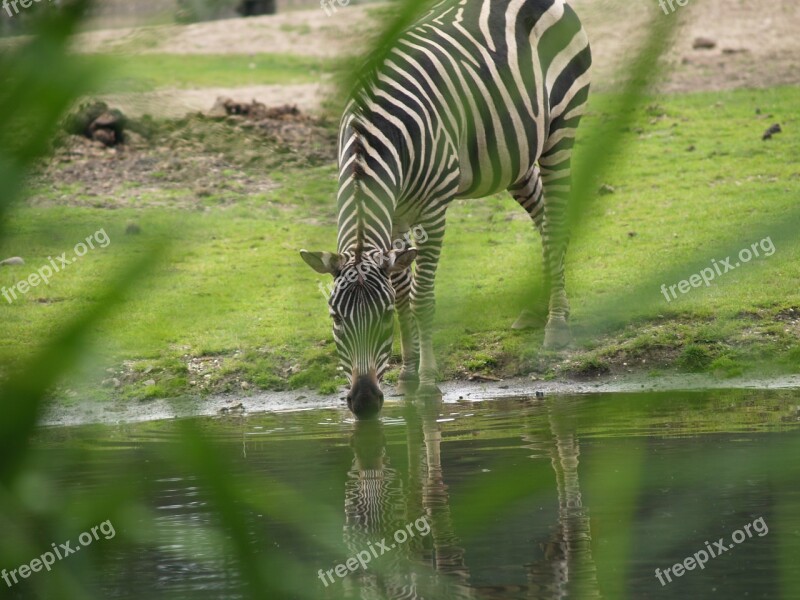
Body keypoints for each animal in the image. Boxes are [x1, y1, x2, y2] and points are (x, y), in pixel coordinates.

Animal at [300, 0, 588, 418]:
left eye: (382, 318)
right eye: (336, 319)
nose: (365, 402)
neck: (371, 139)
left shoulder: (432, 211)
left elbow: (421, 298)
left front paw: (427, 383)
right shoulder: (394, 216)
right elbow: (401, 290)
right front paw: (406, 374)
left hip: (560, 129)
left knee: (556, 218)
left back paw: (557, 325)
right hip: (514, 157)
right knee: (543, 215)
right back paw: (542, 305)